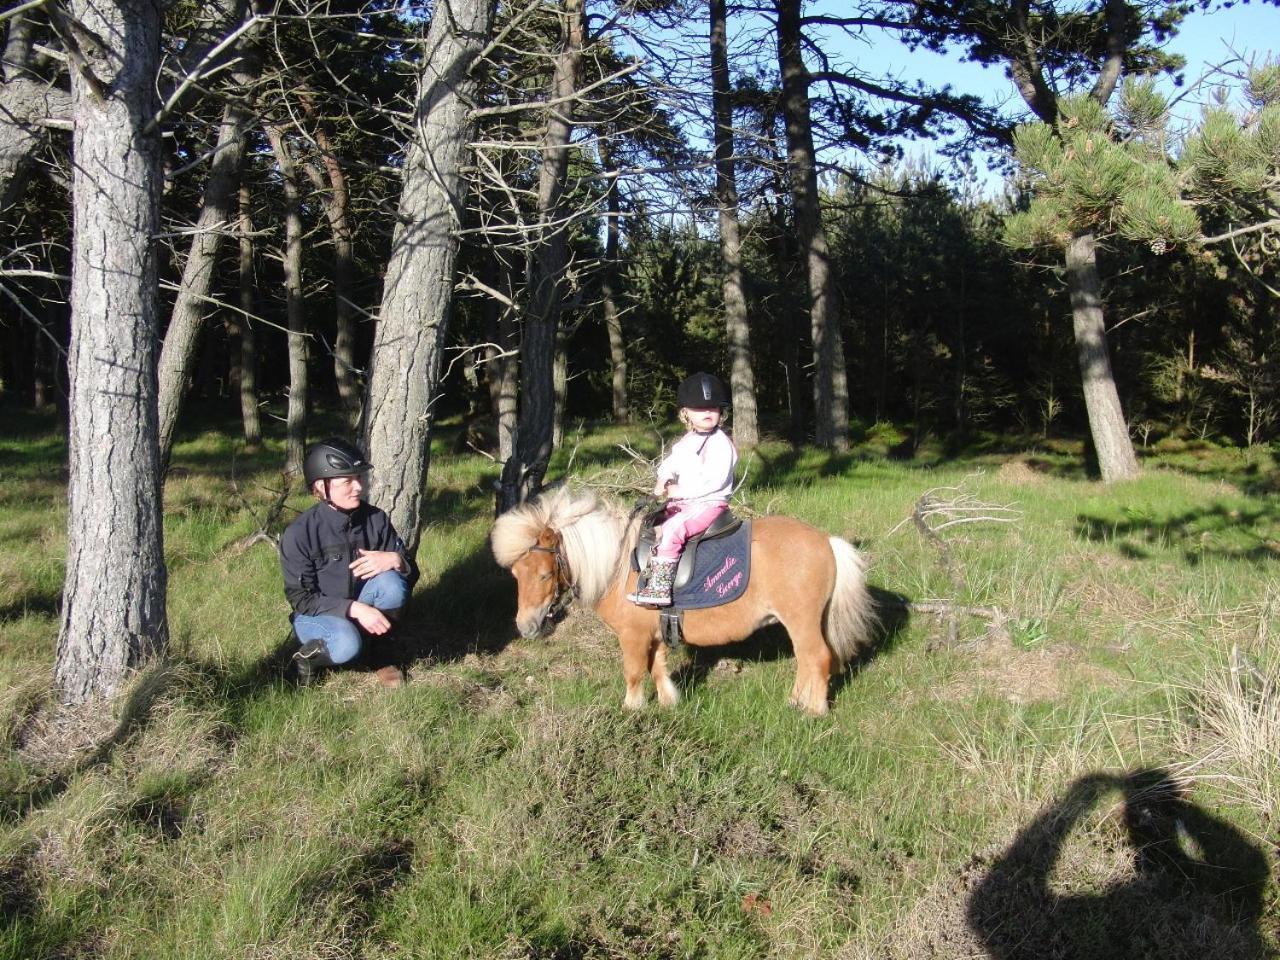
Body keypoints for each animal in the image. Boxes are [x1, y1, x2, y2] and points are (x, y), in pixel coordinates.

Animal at [483, 488, 875, 716]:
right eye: (516, 574)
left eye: (543, 575)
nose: (526, 627)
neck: (618, 566)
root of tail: (827, 542)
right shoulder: (654, 633)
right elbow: (657, 667)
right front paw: (669, 702)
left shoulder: (633, 637)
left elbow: (634, 671)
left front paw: (632, 709)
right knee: (808, 660)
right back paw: (796, 702)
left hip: (801, 620)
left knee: (817, 658)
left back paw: (814, 711)